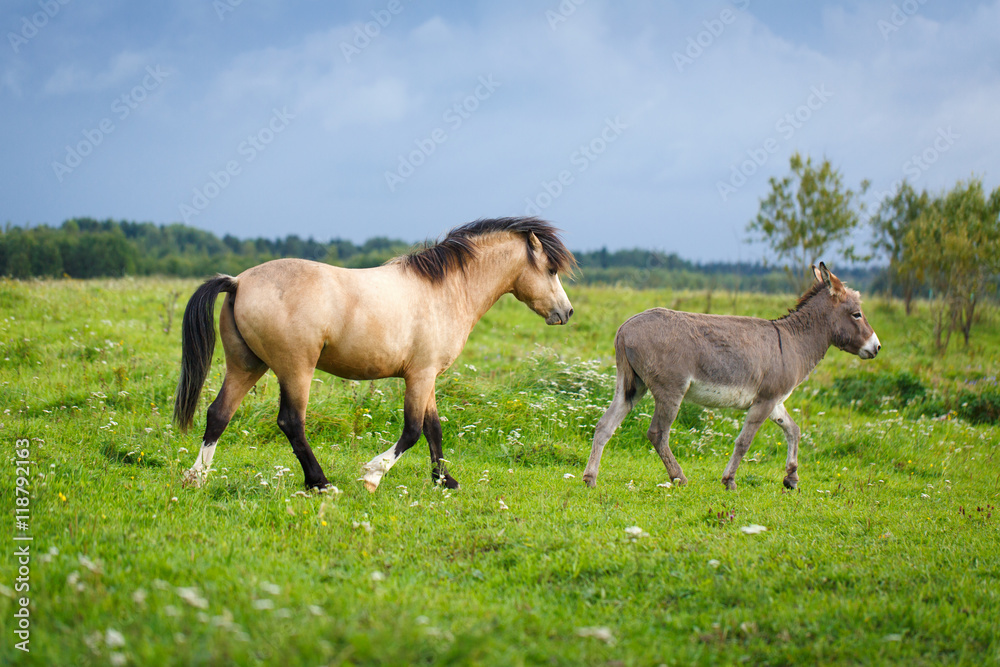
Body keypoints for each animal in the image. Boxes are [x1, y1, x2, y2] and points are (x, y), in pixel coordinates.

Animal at [173, 217, 576, 492]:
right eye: (550, 268)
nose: (566, 312)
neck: (445, 291)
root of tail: (238, 282)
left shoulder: (426, 376)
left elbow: (433, 428)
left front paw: (444, 480)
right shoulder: (420, 376)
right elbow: (412, 431)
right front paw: (372, 475)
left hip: (246, 366)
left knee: (218, 414)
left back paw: (196, 477)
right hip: (295, 369)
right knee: (291, 422)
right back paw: (320, 483)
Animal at [583, 263, 880, 491]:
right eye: (857, 314)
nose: (877, 347)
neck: (793, 341)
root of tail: (624, 327)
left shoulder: (775, 401)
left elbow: (793, 430)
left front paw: (792, 478)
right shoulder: (765, 401)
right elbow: (744, 441)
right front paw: (729, 481)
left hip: (631, 386)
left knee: (605, 425)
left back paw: (590, 478)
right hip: (670, 391)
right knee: (657, 433)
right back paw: (679, 477)